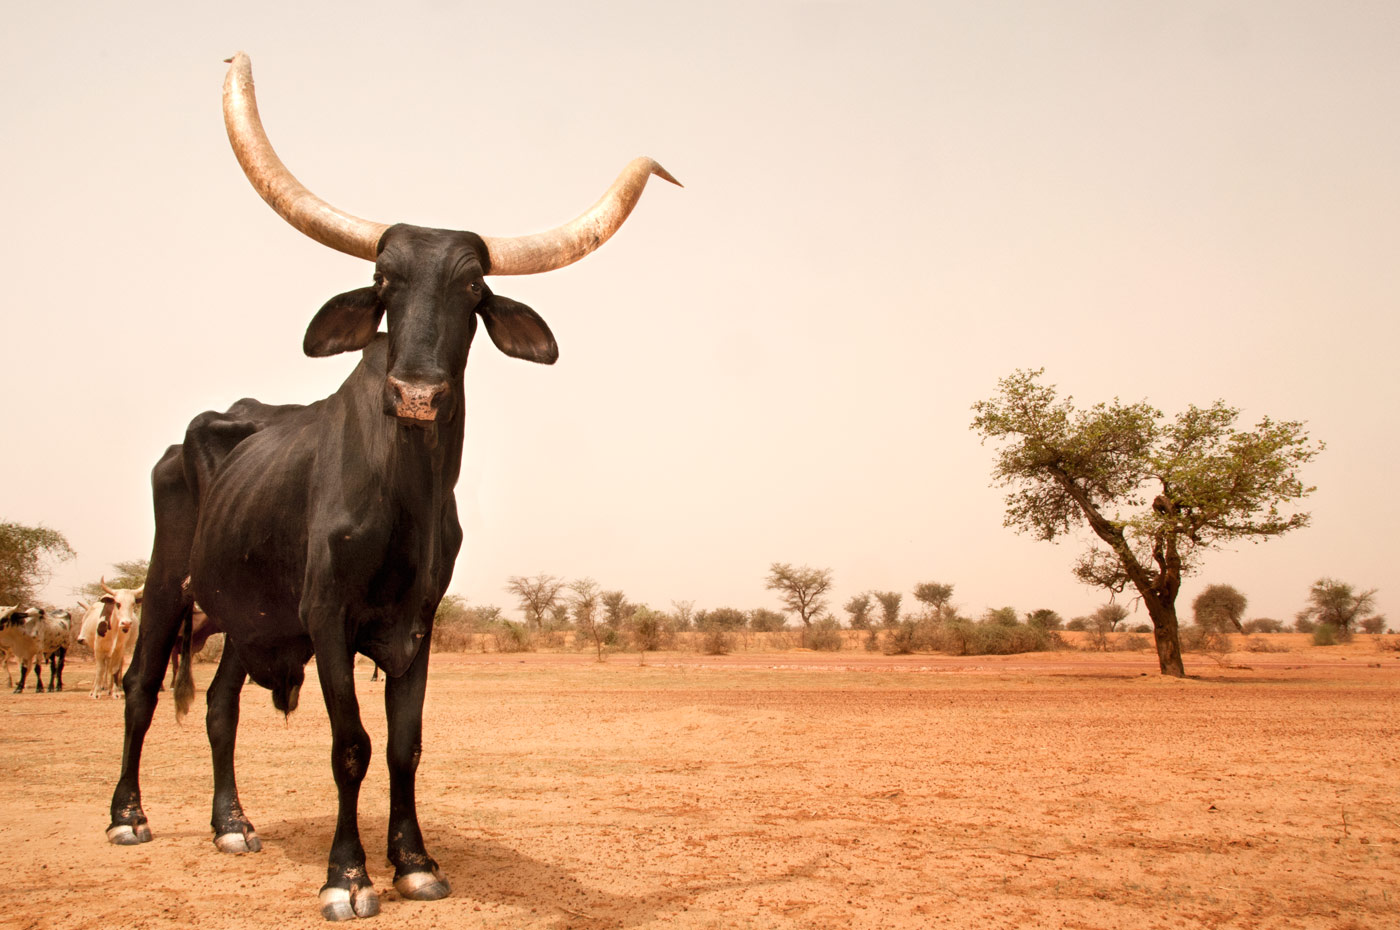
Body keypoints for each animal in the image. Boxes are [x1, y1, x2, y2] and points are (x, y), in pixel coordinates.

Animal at [109, 52, 677, 924]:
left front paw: (413, 861)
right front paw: (348, 875)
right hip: (167, 581)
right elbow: (352, 746)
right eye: (384, 280)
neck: (405, 498)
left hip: (246, 616)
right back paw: (129, 816)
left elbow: (405, 745)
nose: (415, 394)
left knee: (219, 706)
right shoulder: (328, 615)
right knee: (140, 687)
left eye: (473, 288)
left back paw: (232, 823)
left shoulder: (419, 622)